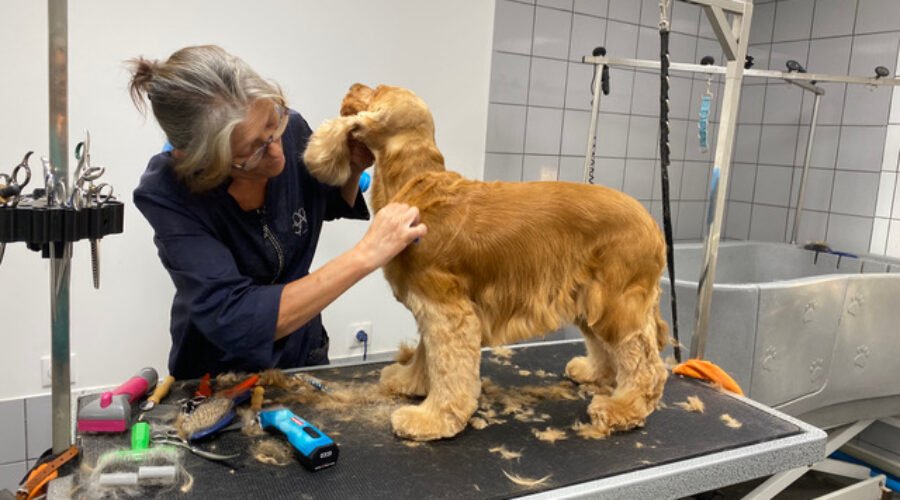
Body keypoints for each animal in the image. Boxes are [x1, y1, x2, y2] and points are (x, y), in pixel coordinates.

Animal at [306, 84, 672, 440]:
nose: (353, 86)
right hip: (587, 297)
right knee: (608, 347)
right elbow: (427, 355)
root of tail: (653, 225)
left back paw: (623, 408)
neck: (414, 183)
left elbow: (447, 368)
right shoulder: (434, 308)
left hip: (616, 302)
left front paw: (432, 418)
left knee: (644, 363)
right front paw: (410, 382)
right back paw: (594, 373)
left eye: (374, 90)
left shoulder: (448, 311)